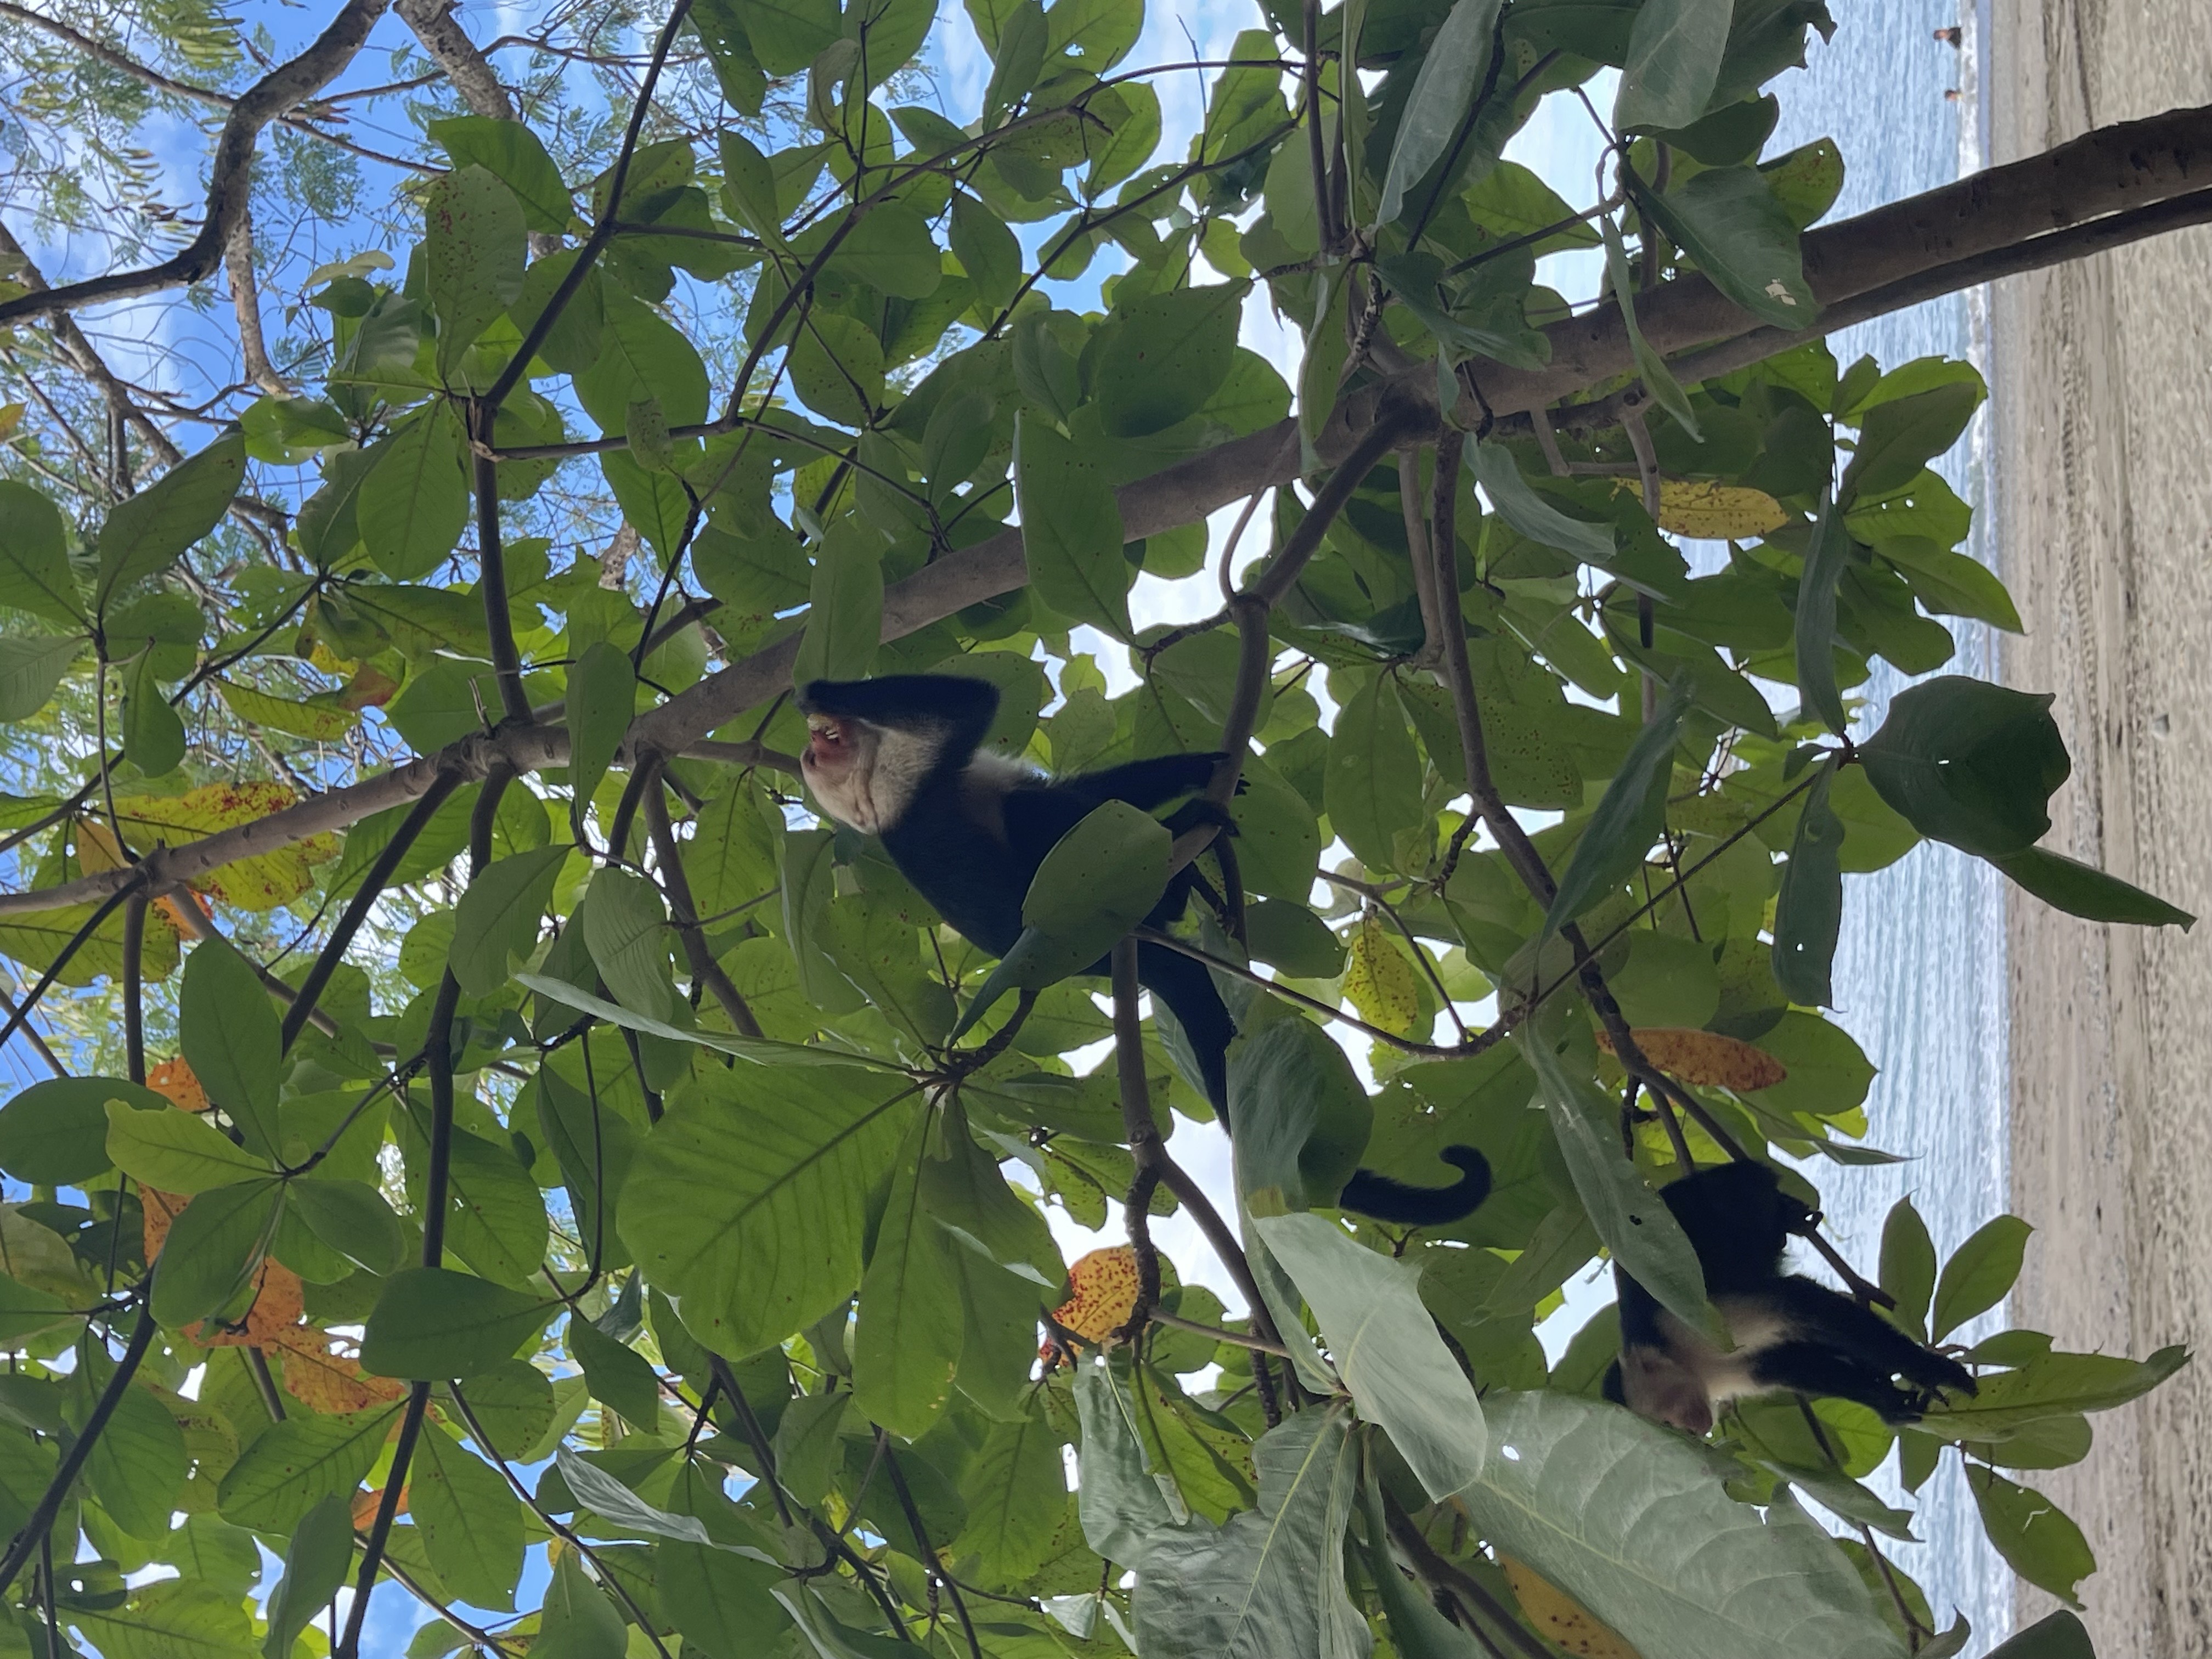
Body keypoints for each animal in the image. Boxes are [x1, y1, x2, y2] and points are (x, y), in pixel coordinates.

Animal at [796, 673, 1491, 1227]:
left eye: (815, 751)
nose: (815, 744)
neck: (867, 796)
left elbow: (1093, 786)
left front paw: (1199, 767)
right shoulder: (901, 784)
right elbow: (972, 707)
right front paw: (824, 690)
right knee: (1036, 820)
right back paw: (1180, 861)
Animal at [1602, 1160, 1976, 1434]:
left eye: (1667, 1424)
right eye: (1672, 1431)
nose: (1694, 1431)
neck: (1682, 1360)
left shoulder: (1685, 1325)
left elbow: (1800, 1304)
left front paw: (1931, 1371)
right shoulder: (1722, 1375)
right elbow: (1789, 1364)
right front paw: (1886, 1403)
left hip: (1723, 1199)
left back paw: (1783, 1214)